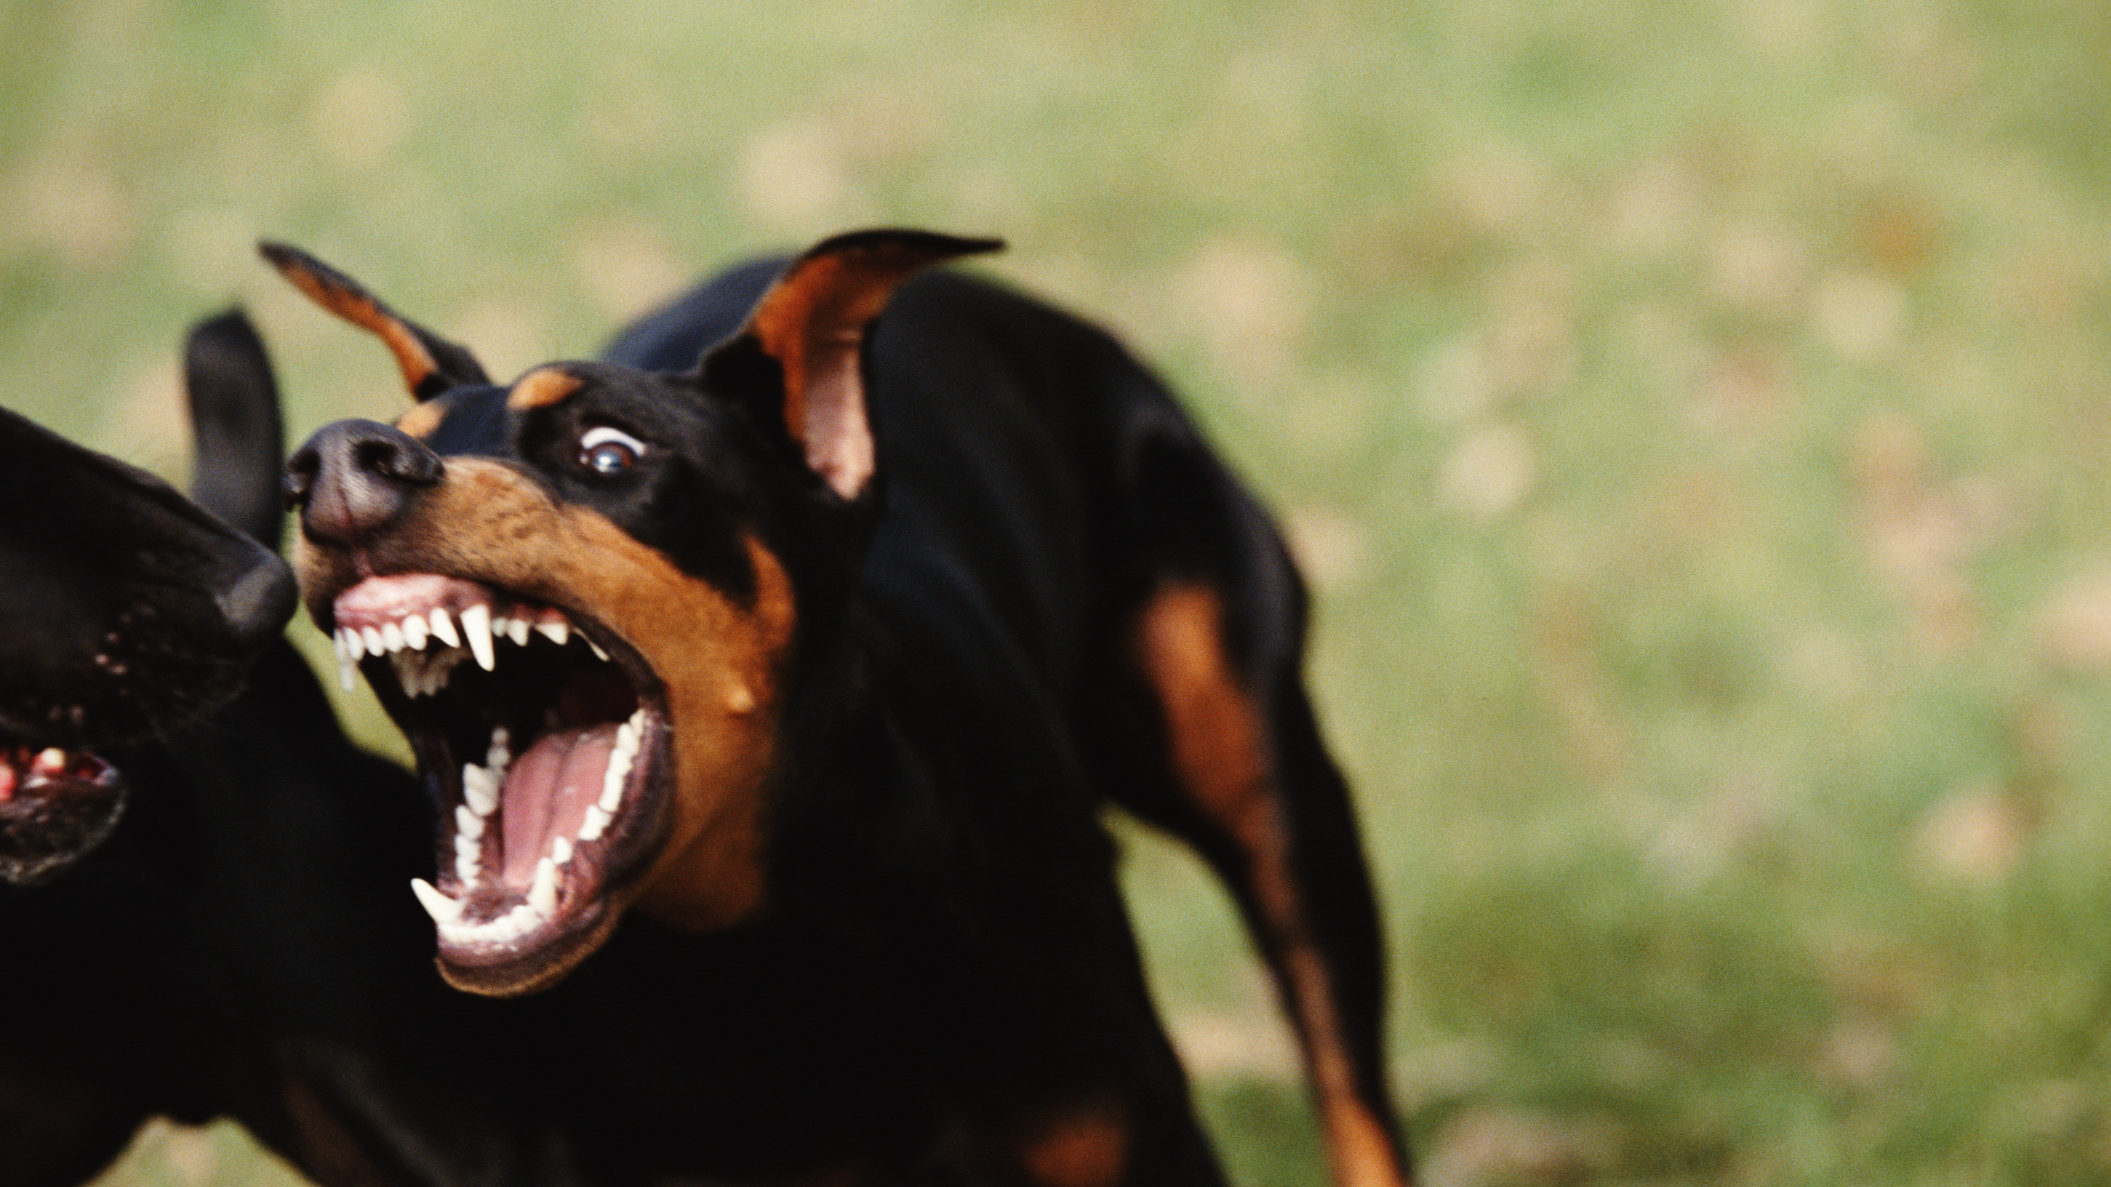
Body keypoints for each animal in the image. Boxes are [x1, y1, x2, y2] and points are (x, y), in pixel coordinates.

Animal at [268, 225, 1418, 1174]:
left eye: (609, 452)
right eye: (400, 427)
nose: (333, 460)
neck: (795, 944)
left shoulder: (1134, 1135)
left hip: (1274, 794)